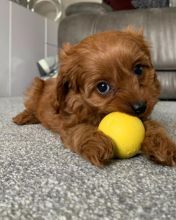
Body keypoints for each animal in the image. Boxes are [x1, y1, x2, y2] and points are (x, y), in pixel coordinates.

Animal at [13, 28, 176, 167]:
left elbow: (153, 126)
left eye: (138, 69)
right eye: (102, 87)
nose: (140, 107)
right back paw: (23, 117)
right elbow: (81, 128)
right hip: (35, 87)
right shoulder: (67, 122)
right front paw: (98, 142)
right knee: (31, 107)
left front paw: (162, 145)